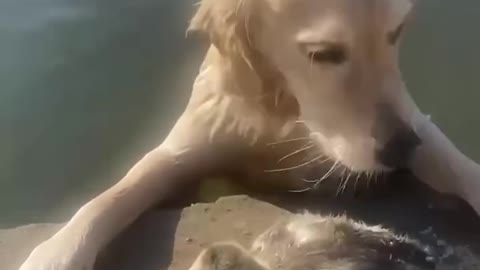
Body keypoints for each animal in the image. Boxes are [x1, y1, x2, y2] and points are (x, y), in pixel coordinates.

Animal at [16, 0, 480, 270]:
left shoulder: (415, 123)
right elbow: (118, 192)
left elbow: (458, 164)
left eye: (396, 32)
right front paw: (56, 252)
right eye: (323, 54)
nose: (401, 149)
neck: (290, 115)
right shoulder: (191, 140)